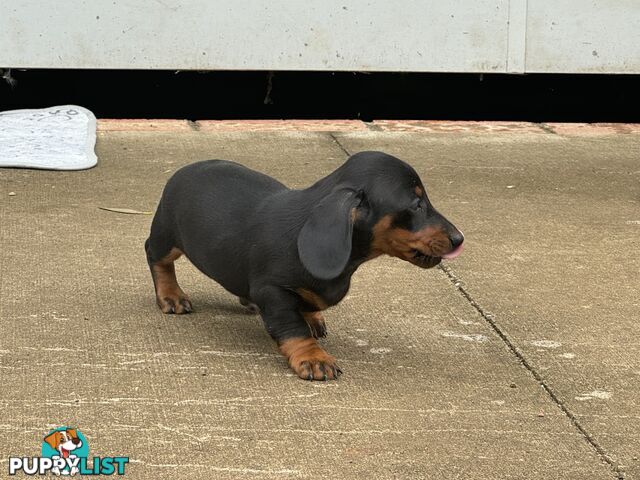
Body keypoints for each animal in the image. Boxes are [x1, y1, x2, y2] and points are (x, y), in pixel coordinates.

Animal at [147, 152, 462, 380]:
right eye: (416, 204)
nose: (459, 239)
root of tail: (184, 169)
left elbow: (308, 303)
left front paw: (313, 318)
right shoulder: (273, 290)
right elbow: (293, 327)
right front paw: (313, 358)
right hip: (166, 236)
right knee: (156, 257)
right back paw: (172, 296)